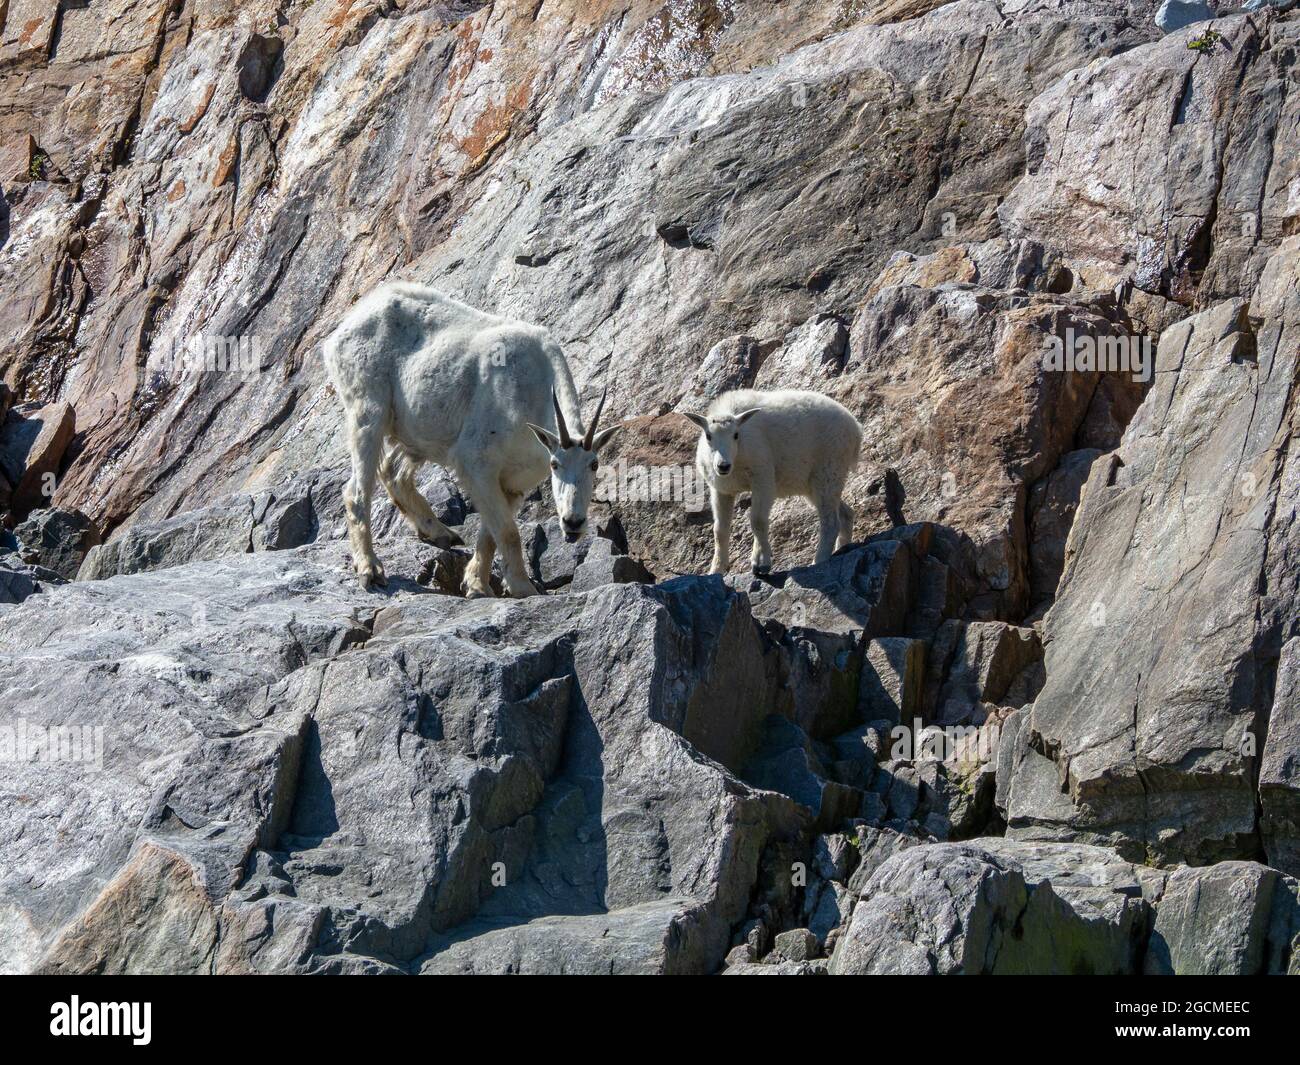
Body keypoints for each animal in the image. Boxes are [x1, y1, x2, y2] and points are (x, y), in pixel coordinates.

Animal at [323, 282, 619, 595]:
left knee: (394, 471)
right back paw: (370, 569)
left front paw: (475, 584)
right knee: (357, 489)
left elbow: (491, 532)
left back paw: (440, 534)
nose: (573, 523)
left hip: (416, 431)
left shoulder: (512, 481)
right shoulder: (476, 461)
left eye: (594, 465)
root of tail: (340, 332)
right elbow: (508, 532)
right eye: (555, 465)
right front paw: (523, 588)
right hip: (367, 408)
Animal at [683, 388, 862, 575]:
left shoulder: (763, 478)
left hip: (828, 471)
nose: (723, 466)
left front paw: (762, 563)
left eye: (735, 435)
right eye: (708, 436)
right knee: (846, 513)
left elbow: (758, 521)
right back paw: (841, 549)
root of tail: (856, 428)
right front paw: (716, 569)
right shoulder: (722, 490)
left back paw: (818, 561)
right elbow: (720, 530)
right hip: (814, 484)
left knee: (830, 522)